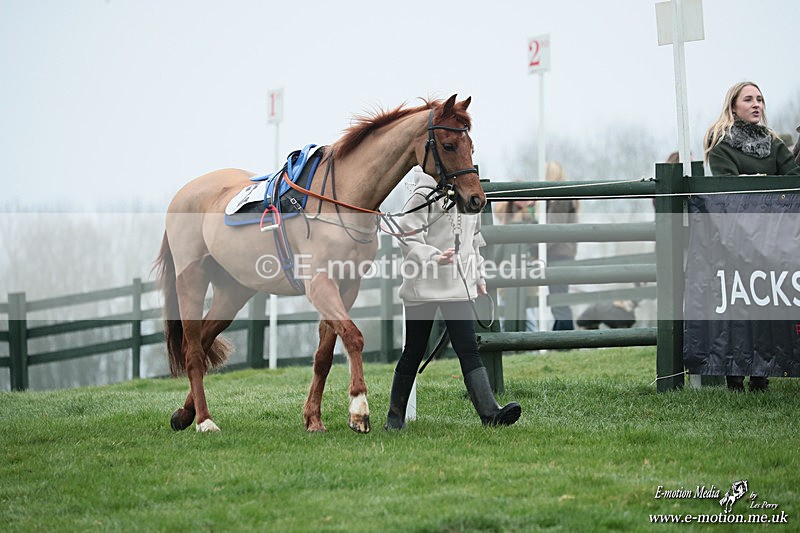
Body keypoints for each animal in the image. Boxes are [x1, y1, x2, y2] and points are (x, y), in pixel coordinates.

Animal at [154, 95, 485, 433]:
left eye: (470, 145)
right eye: (448, 145)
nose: (476, 199)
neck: (342, 200)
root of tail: (184, 194)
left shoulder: (346, 287)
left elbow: (324, 356)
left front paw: (313, 418)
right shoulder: (321, 286)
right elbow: (353, 337)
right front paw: (359, 410)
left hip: (233, 291)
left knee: (205, 340)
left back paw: (184, 414)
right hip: (192, 282)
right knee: (194, 351)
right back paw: (204, 420)